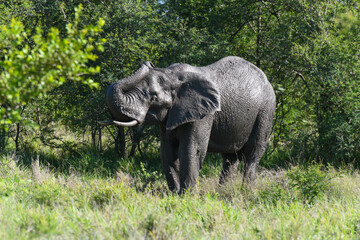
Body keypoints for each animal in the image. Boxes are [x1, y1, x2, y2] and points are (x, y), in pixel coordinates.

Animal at [100, 55, 278, 193]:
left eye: (154, 97)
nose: (149, 63)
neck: (173, 75)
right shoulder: (170, 116)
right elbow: (167, 151)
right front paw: (175, 194)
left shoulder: (204, 114)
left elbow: (191, 149)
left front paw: (187, 196)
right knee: (229, 159)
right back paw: (222, 191)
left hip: (265, 110)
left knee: (252, 154)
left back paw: (246, 190)